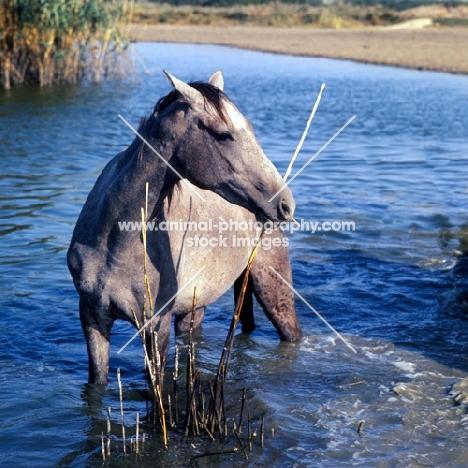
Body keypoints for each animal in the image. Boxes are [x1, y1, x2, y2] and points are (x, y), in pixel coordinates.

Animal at [68, 70, 304, 384]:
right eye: (223, 134)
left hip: (274, 289)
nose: (285, 203)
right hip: (198, 305)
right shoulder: (93, 318)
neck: (112, 244)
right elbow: (97, 383)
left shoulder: (155, 326)